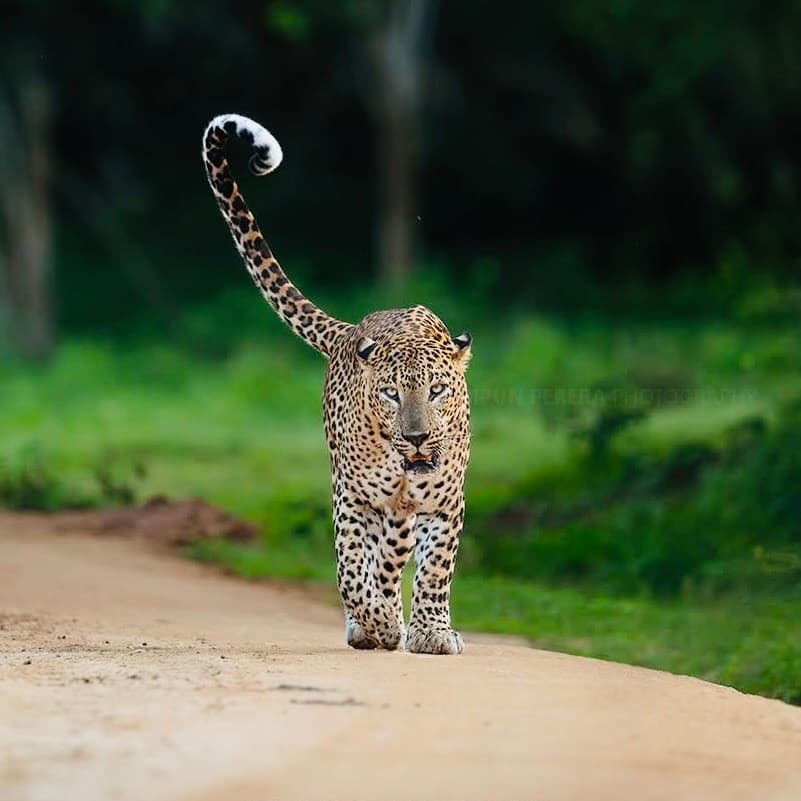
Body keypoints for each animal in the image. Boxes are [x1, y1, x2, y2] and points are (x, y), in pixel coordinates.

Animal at [203, 114, 472, 655]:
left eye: (437, 391)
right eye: (391, 394)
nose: (416, 438)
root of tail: (351, 330)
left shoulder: (444, 502)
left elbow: (435, 569)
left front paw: (431, 632)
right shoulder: (352, 496)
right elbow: (350, 566)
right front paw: (377, 621)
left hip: (402, 513)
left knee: (392, 558)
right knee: (373, 562)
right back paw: (373, 624)